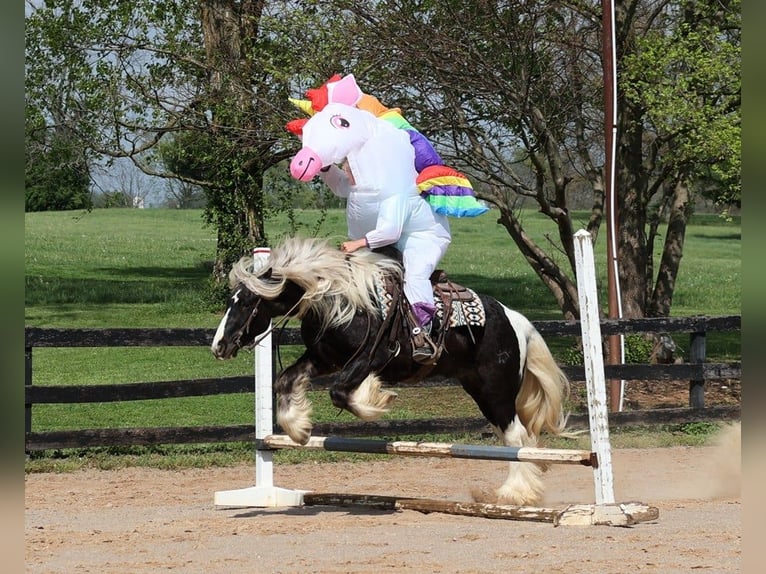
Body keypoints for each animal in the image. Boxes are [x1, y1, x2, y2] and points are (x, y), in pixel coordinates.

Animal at [211, 236, 571, 506]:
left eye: (246, 302)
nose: (219, 345)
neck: (342, 301)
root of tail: (516, 320)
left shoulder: (374, 356)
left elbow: (340, 392)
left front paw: (377, 398)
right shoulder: (324, 359)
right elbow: (286, 380)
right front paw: (298, 429)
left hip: (496, 392)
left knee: (518, 437)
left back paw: (515, 495)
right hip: (481, 391)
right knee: (514, 438)